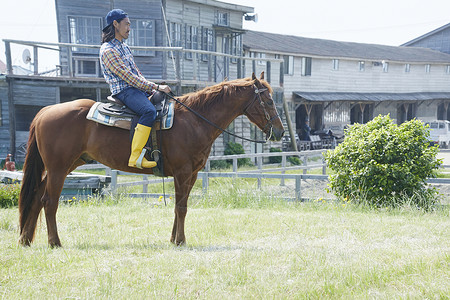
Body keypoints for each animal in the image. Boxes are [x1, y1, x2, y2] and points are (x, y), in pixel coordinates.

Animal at [19, 72, 284, 246]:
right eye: (269, 100)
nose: (280, 132)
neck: (195, 120)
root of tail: (45, 111)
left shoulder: (192, 174)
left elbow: (180, 206)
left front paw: (174, 238)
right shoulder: (182, 172)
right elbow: (181, 207)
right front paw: (180, 241)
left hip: (64, 166)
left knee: (36, 197)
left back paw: (25, 239)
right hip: (58, 168)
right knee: (49, 201)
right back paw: (54, 242)